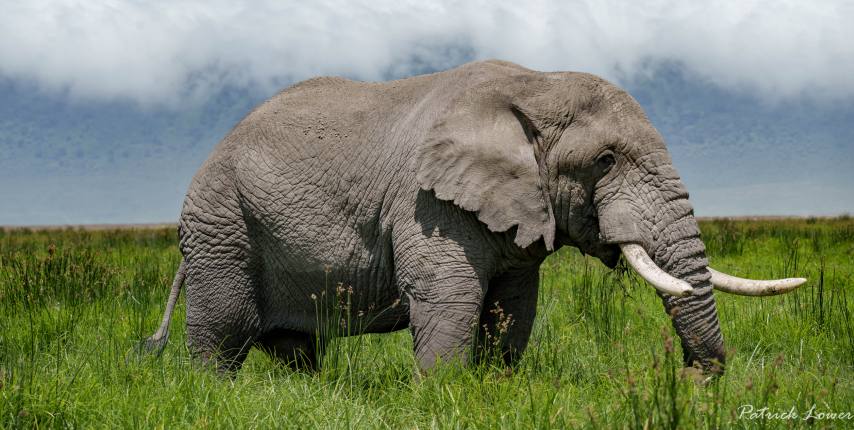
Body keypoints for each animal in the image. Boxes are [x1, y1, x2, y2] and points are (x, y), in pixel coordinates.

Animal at [144, 60, 805, 374]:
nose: (695, 380)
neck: (536, 84)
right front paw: (441, 392)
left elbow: (512, 307)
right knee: (223, 332)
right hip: (221, 223)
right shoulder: (426, 201)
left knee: (294, 347)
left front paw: (493, 388)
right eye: (606, 161)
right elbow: (451, 295)